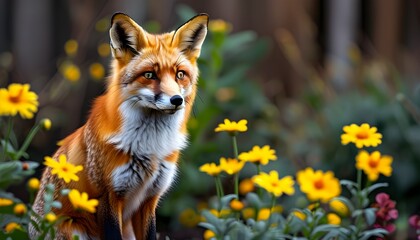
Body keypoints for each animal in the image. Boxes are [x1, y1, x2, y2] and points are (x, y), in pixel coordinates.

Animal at [30, 13, 208, 240]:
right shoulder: (109, 196)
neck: (151, 147)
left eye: (180, 75)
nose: (177, 100)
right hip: (73, 228)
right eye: (149, 75)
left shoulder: (149, 199)